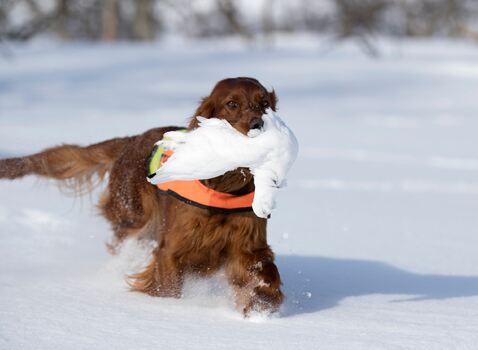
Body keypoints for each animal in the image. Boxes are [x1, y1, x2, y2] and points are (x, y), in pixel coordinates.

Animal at [0, 78, 284, 316]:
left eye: (265, 104)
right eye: (232, 104)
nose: (258, 125)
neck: (224, 185)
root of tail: (131, 140)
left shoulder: (248, 245)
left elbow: (264, 271)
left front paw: (262, 302)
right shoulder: (171, 250)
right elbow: (167, 287)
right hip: (133, 216)